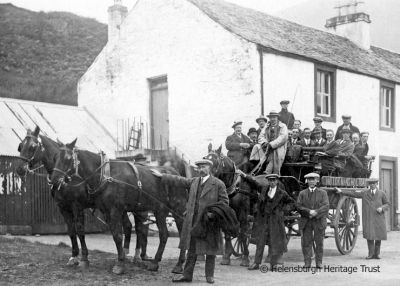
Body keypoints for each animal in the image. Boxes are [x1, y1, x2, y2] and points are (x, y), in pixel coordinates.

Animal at [15, 127, 134, 268]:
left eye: (33, 146)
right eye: (20, 146)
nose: (20, 169)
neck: (66, 177)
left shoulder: (77, 206)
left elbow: (80, 231)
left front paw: (84, 258)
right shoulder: (63, 207)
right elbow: (71, 231)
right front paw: (74, 256)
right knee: (127, 225)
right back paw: (125, 253)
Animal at [50, 140, 188, 274]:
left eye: (68, 158)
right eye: (55, 157)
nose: (54, 180)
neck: (105, 176)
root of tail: (176, 174)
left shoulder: (110, 210)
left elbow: (116, 235)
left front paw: (119, 264)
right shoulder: (105, 212)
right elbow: (114, 235)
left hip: (177, 210)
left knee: (179, 234)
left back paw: (178, 264)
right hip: (158, 210)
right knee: (163, 234)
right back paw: (155, 263)